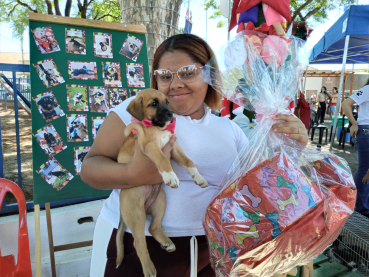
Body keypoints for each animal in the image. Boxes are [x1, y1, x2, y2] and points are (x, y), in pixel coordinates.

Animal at [115, 88, 207, 274]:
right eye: (153, 104)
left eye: (168, 102)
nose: (171, 114)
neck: (157, 127)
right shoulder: (151, 146)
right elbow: (163, 160)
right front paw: (170, 176)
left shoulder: (175, 148)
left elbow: (189, 161)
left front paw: (199, 177)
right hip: (136, 213)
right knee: (139, 242)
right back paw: (149, 269)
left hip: (160, 203)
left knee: (153, 227)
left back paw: (167, 243)